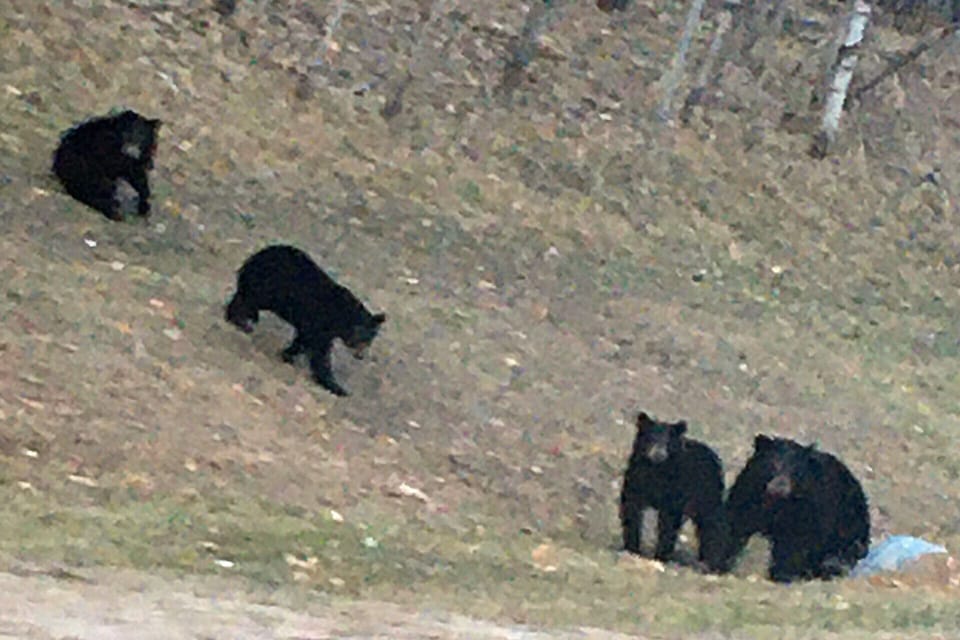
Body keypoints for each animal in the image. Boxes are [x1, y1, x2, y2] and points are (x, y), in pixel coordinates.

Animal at [225, 244, 386, 397]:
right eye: (361, 338)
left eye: (371, 339)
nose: (360, 356)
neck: (339, 318)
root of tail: (255, 256)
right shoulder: (320, 322)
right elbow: (319, 353)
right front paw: (336, 387)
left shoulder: (318, 327)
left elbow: (303, 340)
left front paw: (288, 354)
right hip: (267, 288)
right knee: (247, 300)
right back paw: (240, 320)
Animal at [619, 412, 730, 573]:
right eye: (651, 437)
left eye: (668, 442)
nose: (659, 454)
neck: (656, 470)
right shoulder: (636, 479)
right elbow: (631, 508)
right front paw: (632, 548)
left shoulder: (675, 488)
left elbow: (668, 520)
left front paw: (661, 555)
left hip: (706, 492)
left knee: (711, 522)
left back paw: (712, 561)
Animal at [723, 434, 870, 583]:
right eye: (773, 463)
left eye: (795, 470)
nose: (779, 487)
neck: (776, 504)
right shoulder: (749, 496)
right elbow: (737, 525)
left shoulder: (807, 510)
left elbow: (794, 542)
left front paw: (782, 574)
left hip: (849, 524)